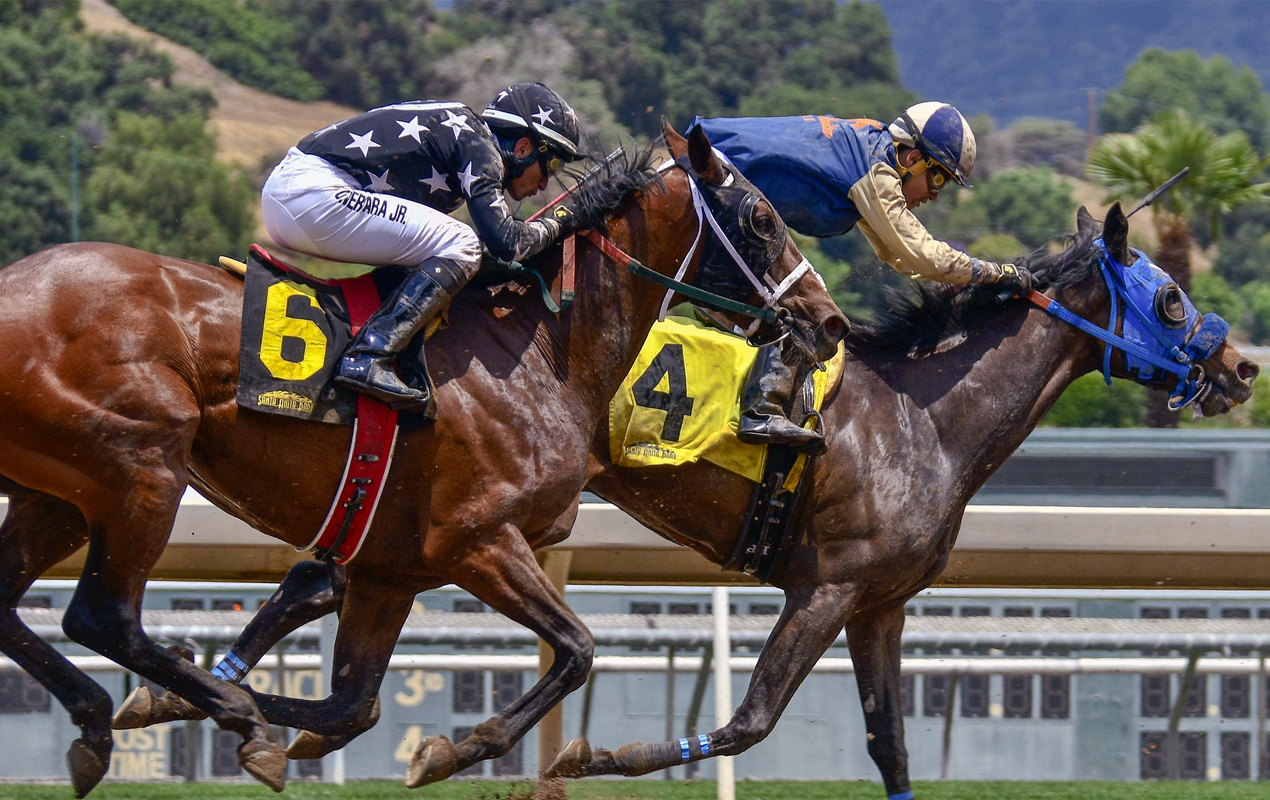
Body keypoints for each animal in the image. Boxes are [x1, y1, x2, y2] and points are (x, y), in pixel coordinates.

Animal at [0, 122, 848, 797]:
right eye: (763, 217)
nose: (830, 320)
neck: (537, 347)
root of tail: (15, 284)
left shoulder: (389, 569)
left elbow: (352, 706)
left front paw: (186, 706)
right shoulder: (477, 539)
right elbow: (576, 650)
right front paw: (455, 751)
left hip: (57, 491)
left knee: (21, 609)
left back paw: (105, 721)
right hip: (142, 466)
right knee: (101, 613)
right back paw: (223, 718)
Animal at [119, 201, 1259, 797]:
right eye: (1168, 299)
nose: (1239, 366)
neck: (923, 421)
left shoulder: (882, 606)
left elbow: (889, 743)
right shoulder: (825, 588)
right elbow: (750, 721)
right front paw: (593, 753)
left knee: (319, 574)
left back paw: (195, 694)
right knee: (328, 573)